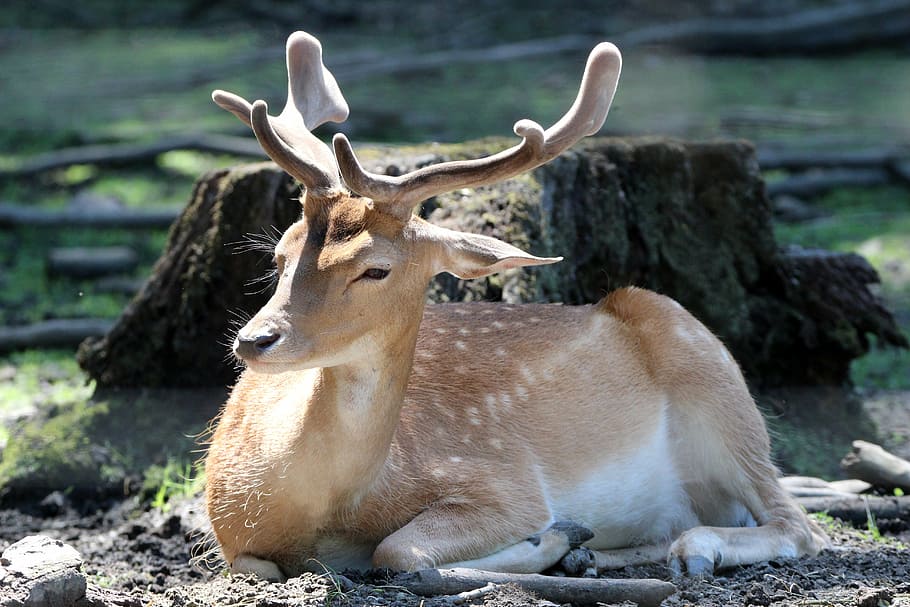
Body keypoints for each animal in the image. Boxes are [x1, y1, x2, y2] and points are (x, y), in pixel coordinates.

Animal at [203, 31, 828, 582]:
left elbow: (398, 551)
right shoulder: (227, 536)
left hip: (720, 393)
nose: (254, 339)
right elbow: (258, 565)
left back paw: (686, 549)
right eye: (281, 253)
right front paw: (565, 547)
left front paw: (550, 538)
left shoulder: (505, 483)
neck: (322, 514)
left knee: (800, 525)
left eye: (376, 268)